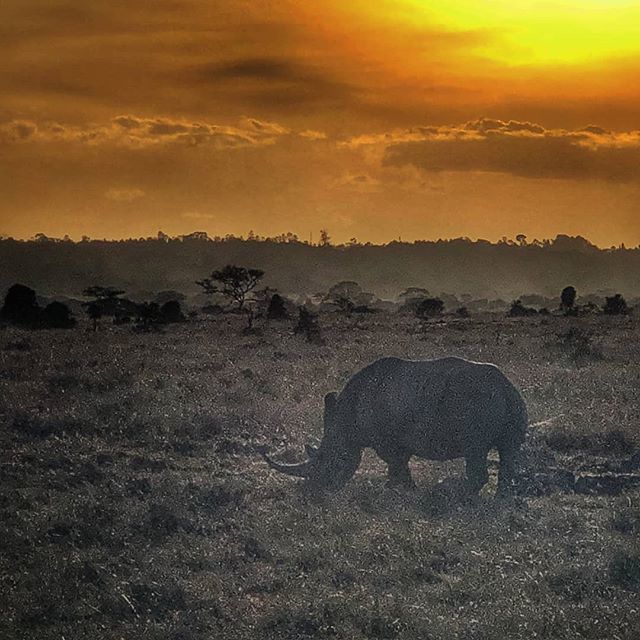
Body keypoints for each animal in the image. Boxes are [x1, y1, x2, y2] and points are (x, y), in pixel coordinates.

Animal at [264, 357, 527, 496]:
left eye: (327, 461)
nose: (314, 491)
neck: (345, 420)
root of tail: (505, 387)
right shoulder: (398, 439)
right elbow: (400, 464)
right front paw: (403, 489)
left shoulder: (385, 440)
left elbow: (396, 464)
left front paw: (398, 490)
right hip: (513, 403)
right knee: (509, 451)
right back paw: (501, 499)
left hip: (476, 404)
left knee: (475, 449)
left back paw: (454, 495)